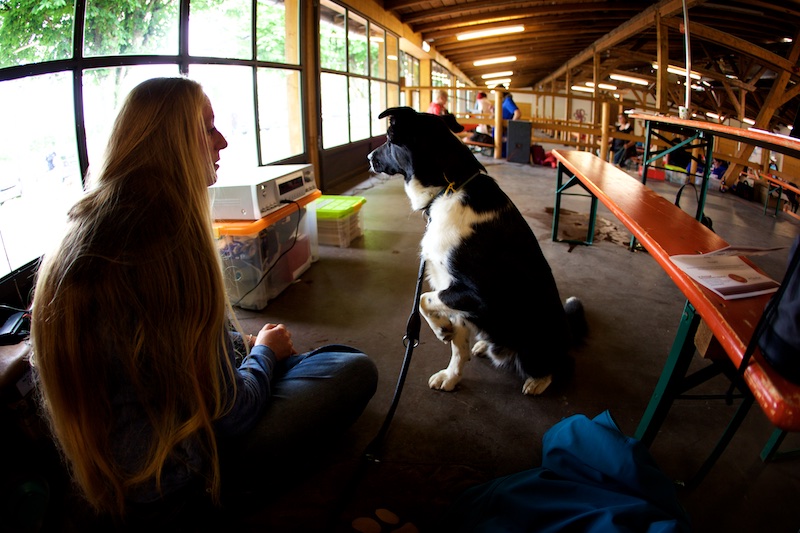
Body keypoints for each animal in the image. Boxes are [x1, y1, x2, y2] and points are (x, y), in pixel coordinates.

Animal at [366, 106, 584, 394]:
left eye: (389, 141)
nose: (368, 157)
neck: (450, 188)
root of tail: (569, 332)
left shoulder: (476, 295)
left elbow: (424, 299)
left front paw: (441, 329)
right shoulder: (454, 294)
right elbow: (457, 345)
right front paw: (451, 375)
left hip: (535, 343)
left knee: (560, 365)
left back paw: (538, 381)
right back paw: (482, 345)